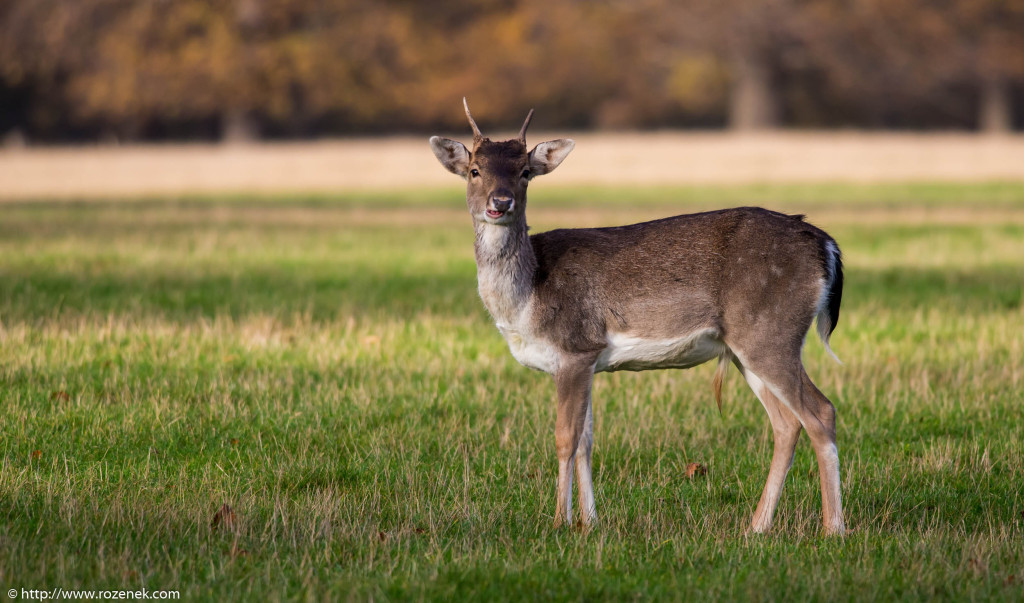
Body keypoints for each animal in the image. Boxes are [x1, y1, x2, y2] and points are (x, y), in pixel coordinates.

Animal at [428, 99, 843, 536]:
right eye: (475, 170)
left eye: (525, 171)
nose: (500, 202)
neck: (528, 298)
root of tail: (826, 245)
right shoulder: (588, 360)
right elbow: (587, 441)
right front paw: (591, 522)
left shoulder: (575, 345)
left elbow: (565, 437)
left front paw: (560, 521)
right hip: (746, 346)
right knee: (786, 424)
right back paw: (757, 527)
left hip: (771, 330)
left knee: (820, 412)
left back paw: (833, 529)